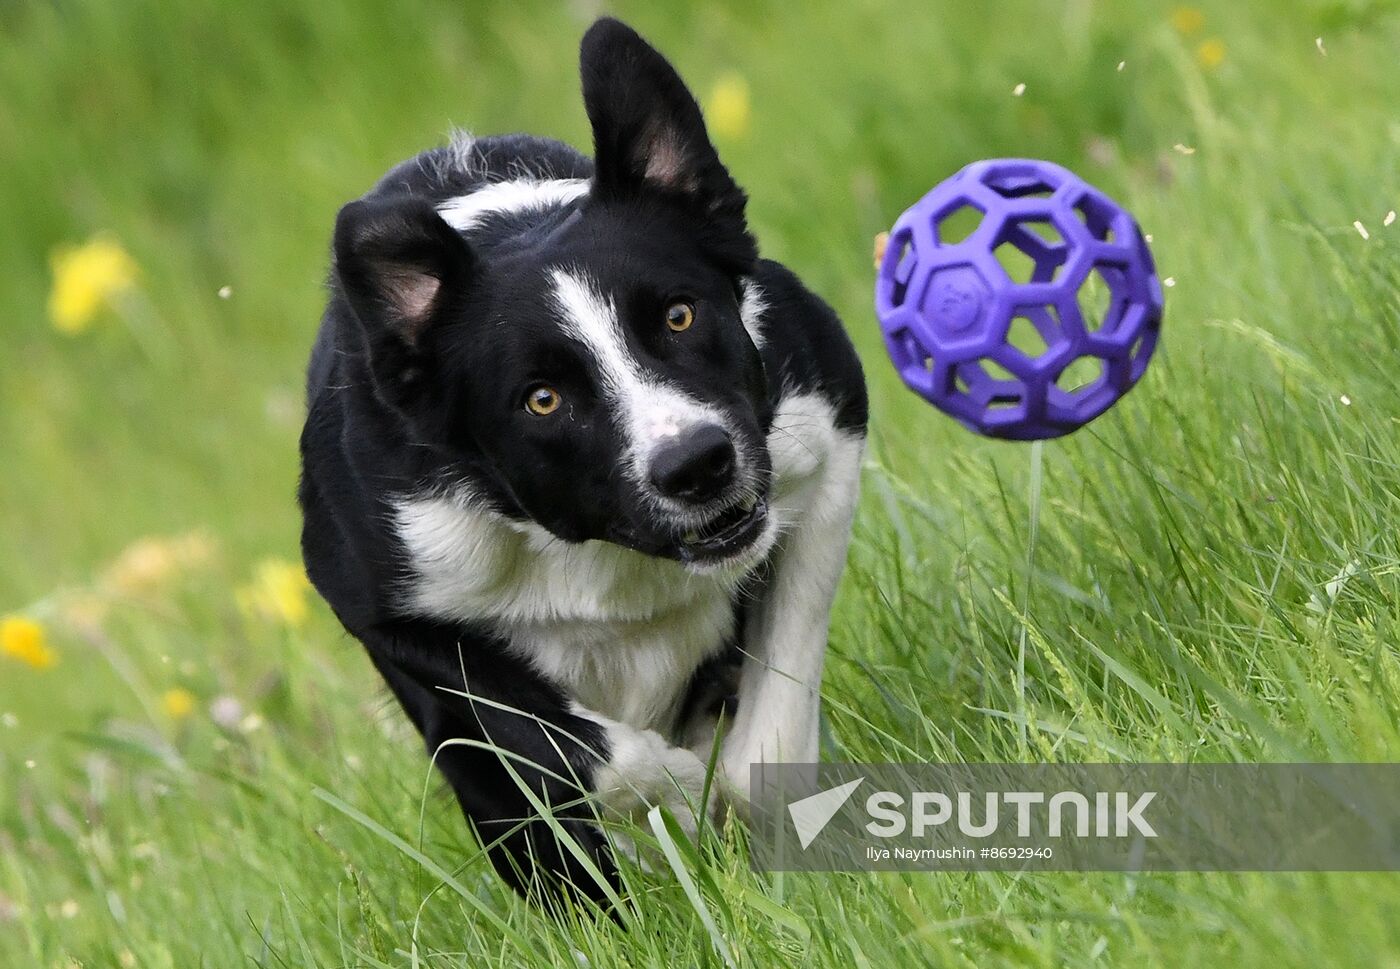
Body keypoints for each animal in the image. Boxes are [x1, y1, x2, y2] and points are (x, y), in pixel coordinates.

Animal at [299, 18, 862, 901]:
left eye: (679, 314)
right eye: (542, 399)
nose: (696, 464)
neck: (606, 547)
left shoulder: (826, 443)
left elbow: (767, 730)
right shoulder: (395, 604)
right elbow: (565, 749)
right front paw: (673, 794)